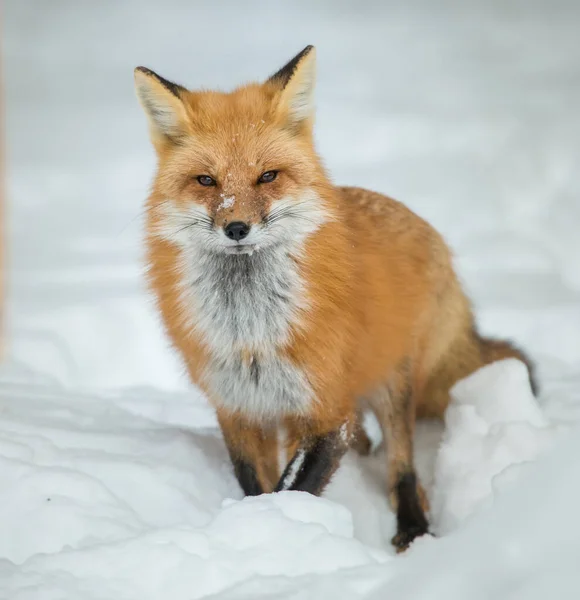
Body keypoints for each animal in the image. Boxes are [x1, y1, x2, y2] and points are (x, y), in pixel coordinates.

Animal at [134, 45, 536, 552]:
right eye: (206, 181)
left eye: (267, 176)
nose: (237, 228)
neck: (251, 333)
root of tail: (427, 229)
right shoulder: (238, 408)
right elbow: (256, 485)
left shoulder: (327, 408)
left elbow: (294, 487)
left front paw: (275, 533)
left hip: (392, 383)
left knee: (402, 467)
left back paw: (413, 528)